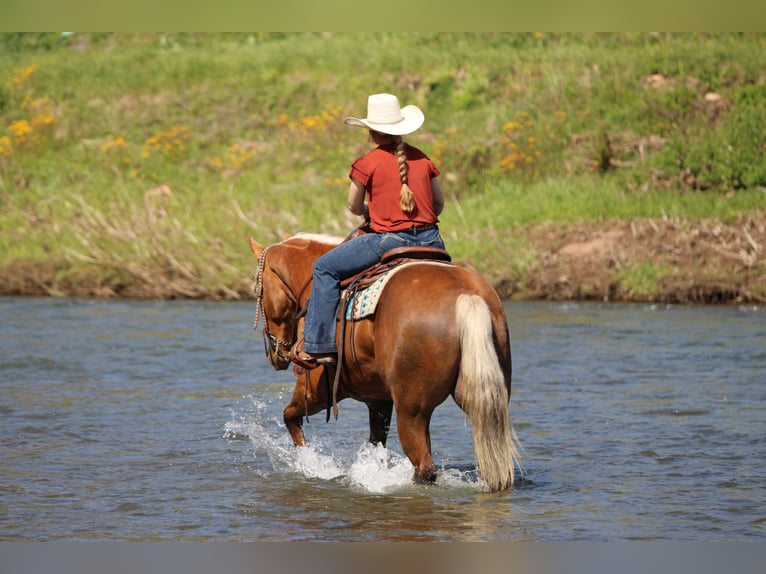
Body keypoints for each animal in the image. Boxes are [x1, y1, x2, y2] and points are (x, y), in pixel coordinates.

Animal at [249, 233, 522, 491]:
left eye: (258, 291)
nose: (276, 355)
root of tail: (466, 297)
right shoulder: (378, 400)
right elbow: (375, 443)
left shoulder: (316, 389)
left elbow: (290, 417)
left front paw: (310, 462)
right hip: (481, 398)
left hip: (412, 409)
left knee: (424, 466)